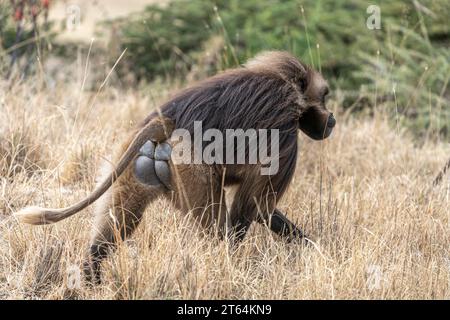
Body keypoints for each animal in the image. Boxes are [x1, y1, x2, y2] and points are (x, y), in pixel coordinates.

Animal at [14, 51, 334, 284]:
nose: (332, 120)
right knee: (215, 225)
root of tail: (164, 123)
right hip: (189, 167)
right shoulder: (284, 131)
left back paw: (92, 275)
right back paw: (220, 267)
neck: (289, 87)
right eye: (326, 96)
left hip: (138, 164)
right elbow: (255, 206)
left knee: (120, 221)